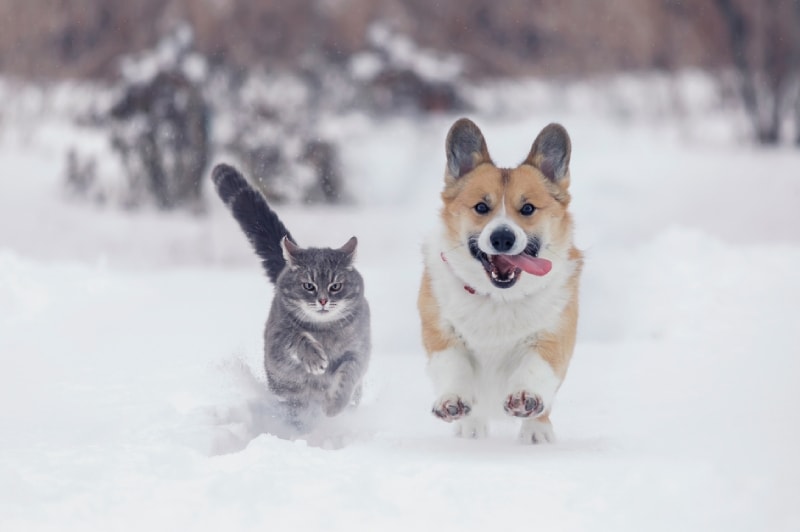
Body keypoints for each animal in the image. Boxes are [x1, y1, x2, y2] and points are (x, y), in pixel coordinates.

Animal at [209, 162, 372, 428]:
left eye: (335, 286)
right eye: (309, 286)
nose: (323, 300)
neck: (325, 332)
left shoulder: (358, 352)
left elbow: (347, 375)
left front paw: (334, 405)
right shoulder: (278, 339)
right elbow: (297, 338)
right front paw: (315, 359)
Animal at [418, 118, 580, 442]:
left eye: (527, 208)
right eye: (481, 207)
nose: (502, 237)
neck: (499, 298)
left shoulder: (554, 335)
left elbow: (535, 369)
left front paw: (525, 399)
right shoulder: (440, 332)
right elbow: (452, 365)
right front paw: (453, 401)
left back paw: (536, 432)